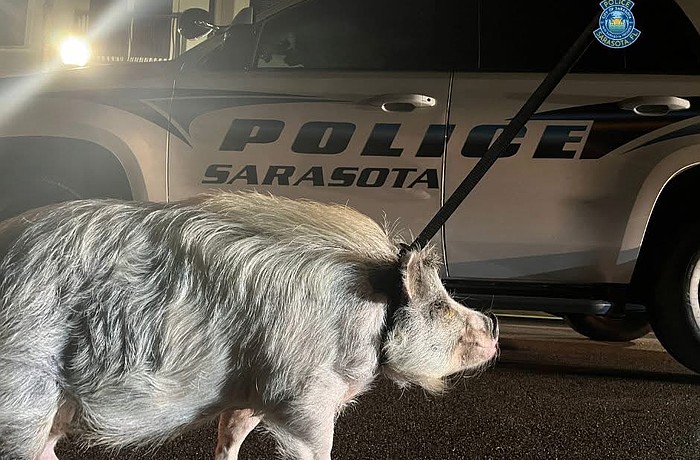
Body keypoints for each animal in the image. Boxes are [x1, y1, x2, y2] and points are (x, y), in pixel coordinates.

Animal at [0, 191, 498, 460]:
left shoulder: (256, 391)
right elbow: (314, 446)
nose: (493, 323)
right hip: (22, 393)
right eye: (440, 307)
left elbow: (232, 431)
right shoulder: (303, 395)